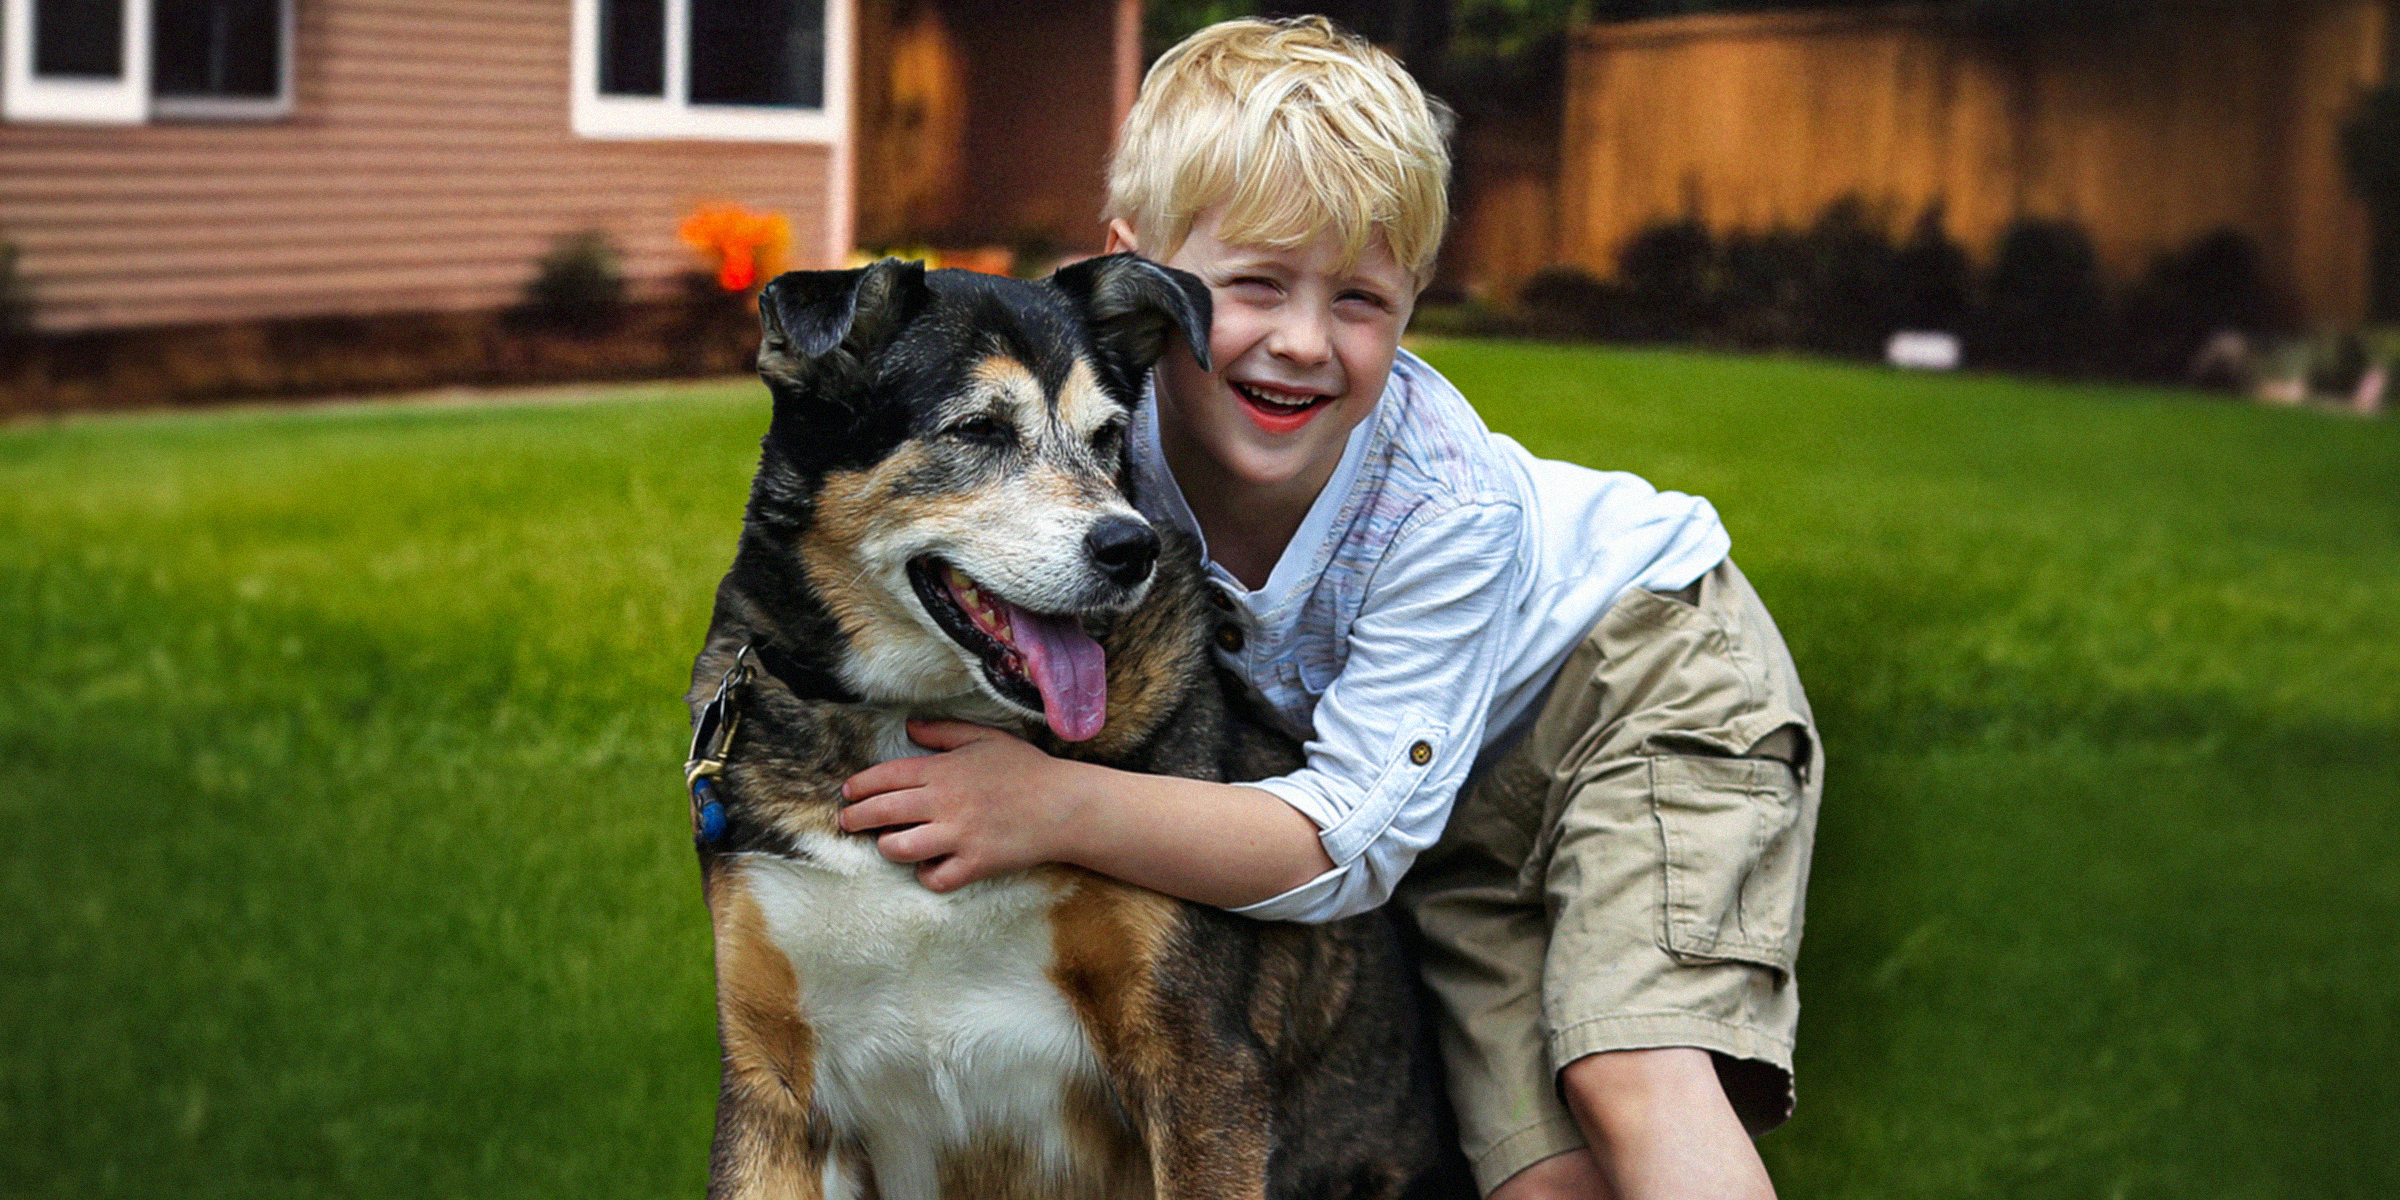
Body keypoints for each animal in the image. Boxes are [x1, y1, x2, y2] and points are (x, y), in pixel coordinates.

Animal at [681, 255, 1459, 1200]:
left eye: (1107, 436)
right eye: (978, 429)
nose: (1130, 549)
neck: (915, 718)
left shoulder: (1200, 1061)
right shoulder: (771, 1087)